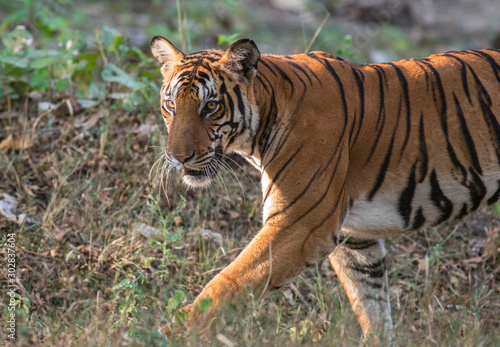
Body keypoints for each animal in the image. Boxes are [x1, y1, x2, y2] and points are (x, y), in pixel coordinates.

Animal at [150, 35, 500, 342]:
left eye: (210, 106)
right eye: (170, 105)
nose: (177, 157)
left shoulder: (299, 224)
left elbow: (229, 282)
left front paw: (171, 333)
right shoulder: (355, 237)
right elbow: (371, 306)